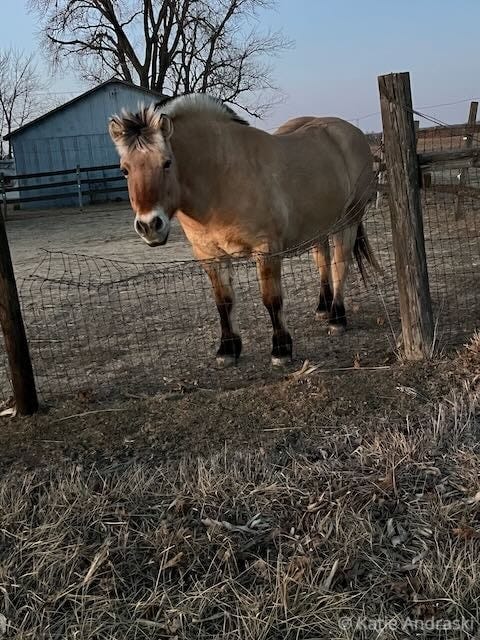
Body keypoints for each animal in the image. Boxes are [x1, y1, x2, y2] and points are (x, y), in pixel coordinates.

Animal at [108, 95, 378, 366]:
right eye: (124, 169)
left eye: (166, 162)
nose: (149, 226)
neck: (221, 179)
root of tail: (350, 132)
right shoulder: (210, 256)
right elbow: (223, 302)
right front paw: (228, 349)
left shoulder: (266, 250)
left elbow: (271, 300)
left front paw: (281, 349)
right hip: (319, 226)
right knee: (323, 260)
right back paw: (323, 309)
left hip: (347, 221)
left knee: (340, 264)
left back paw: (337, 319)